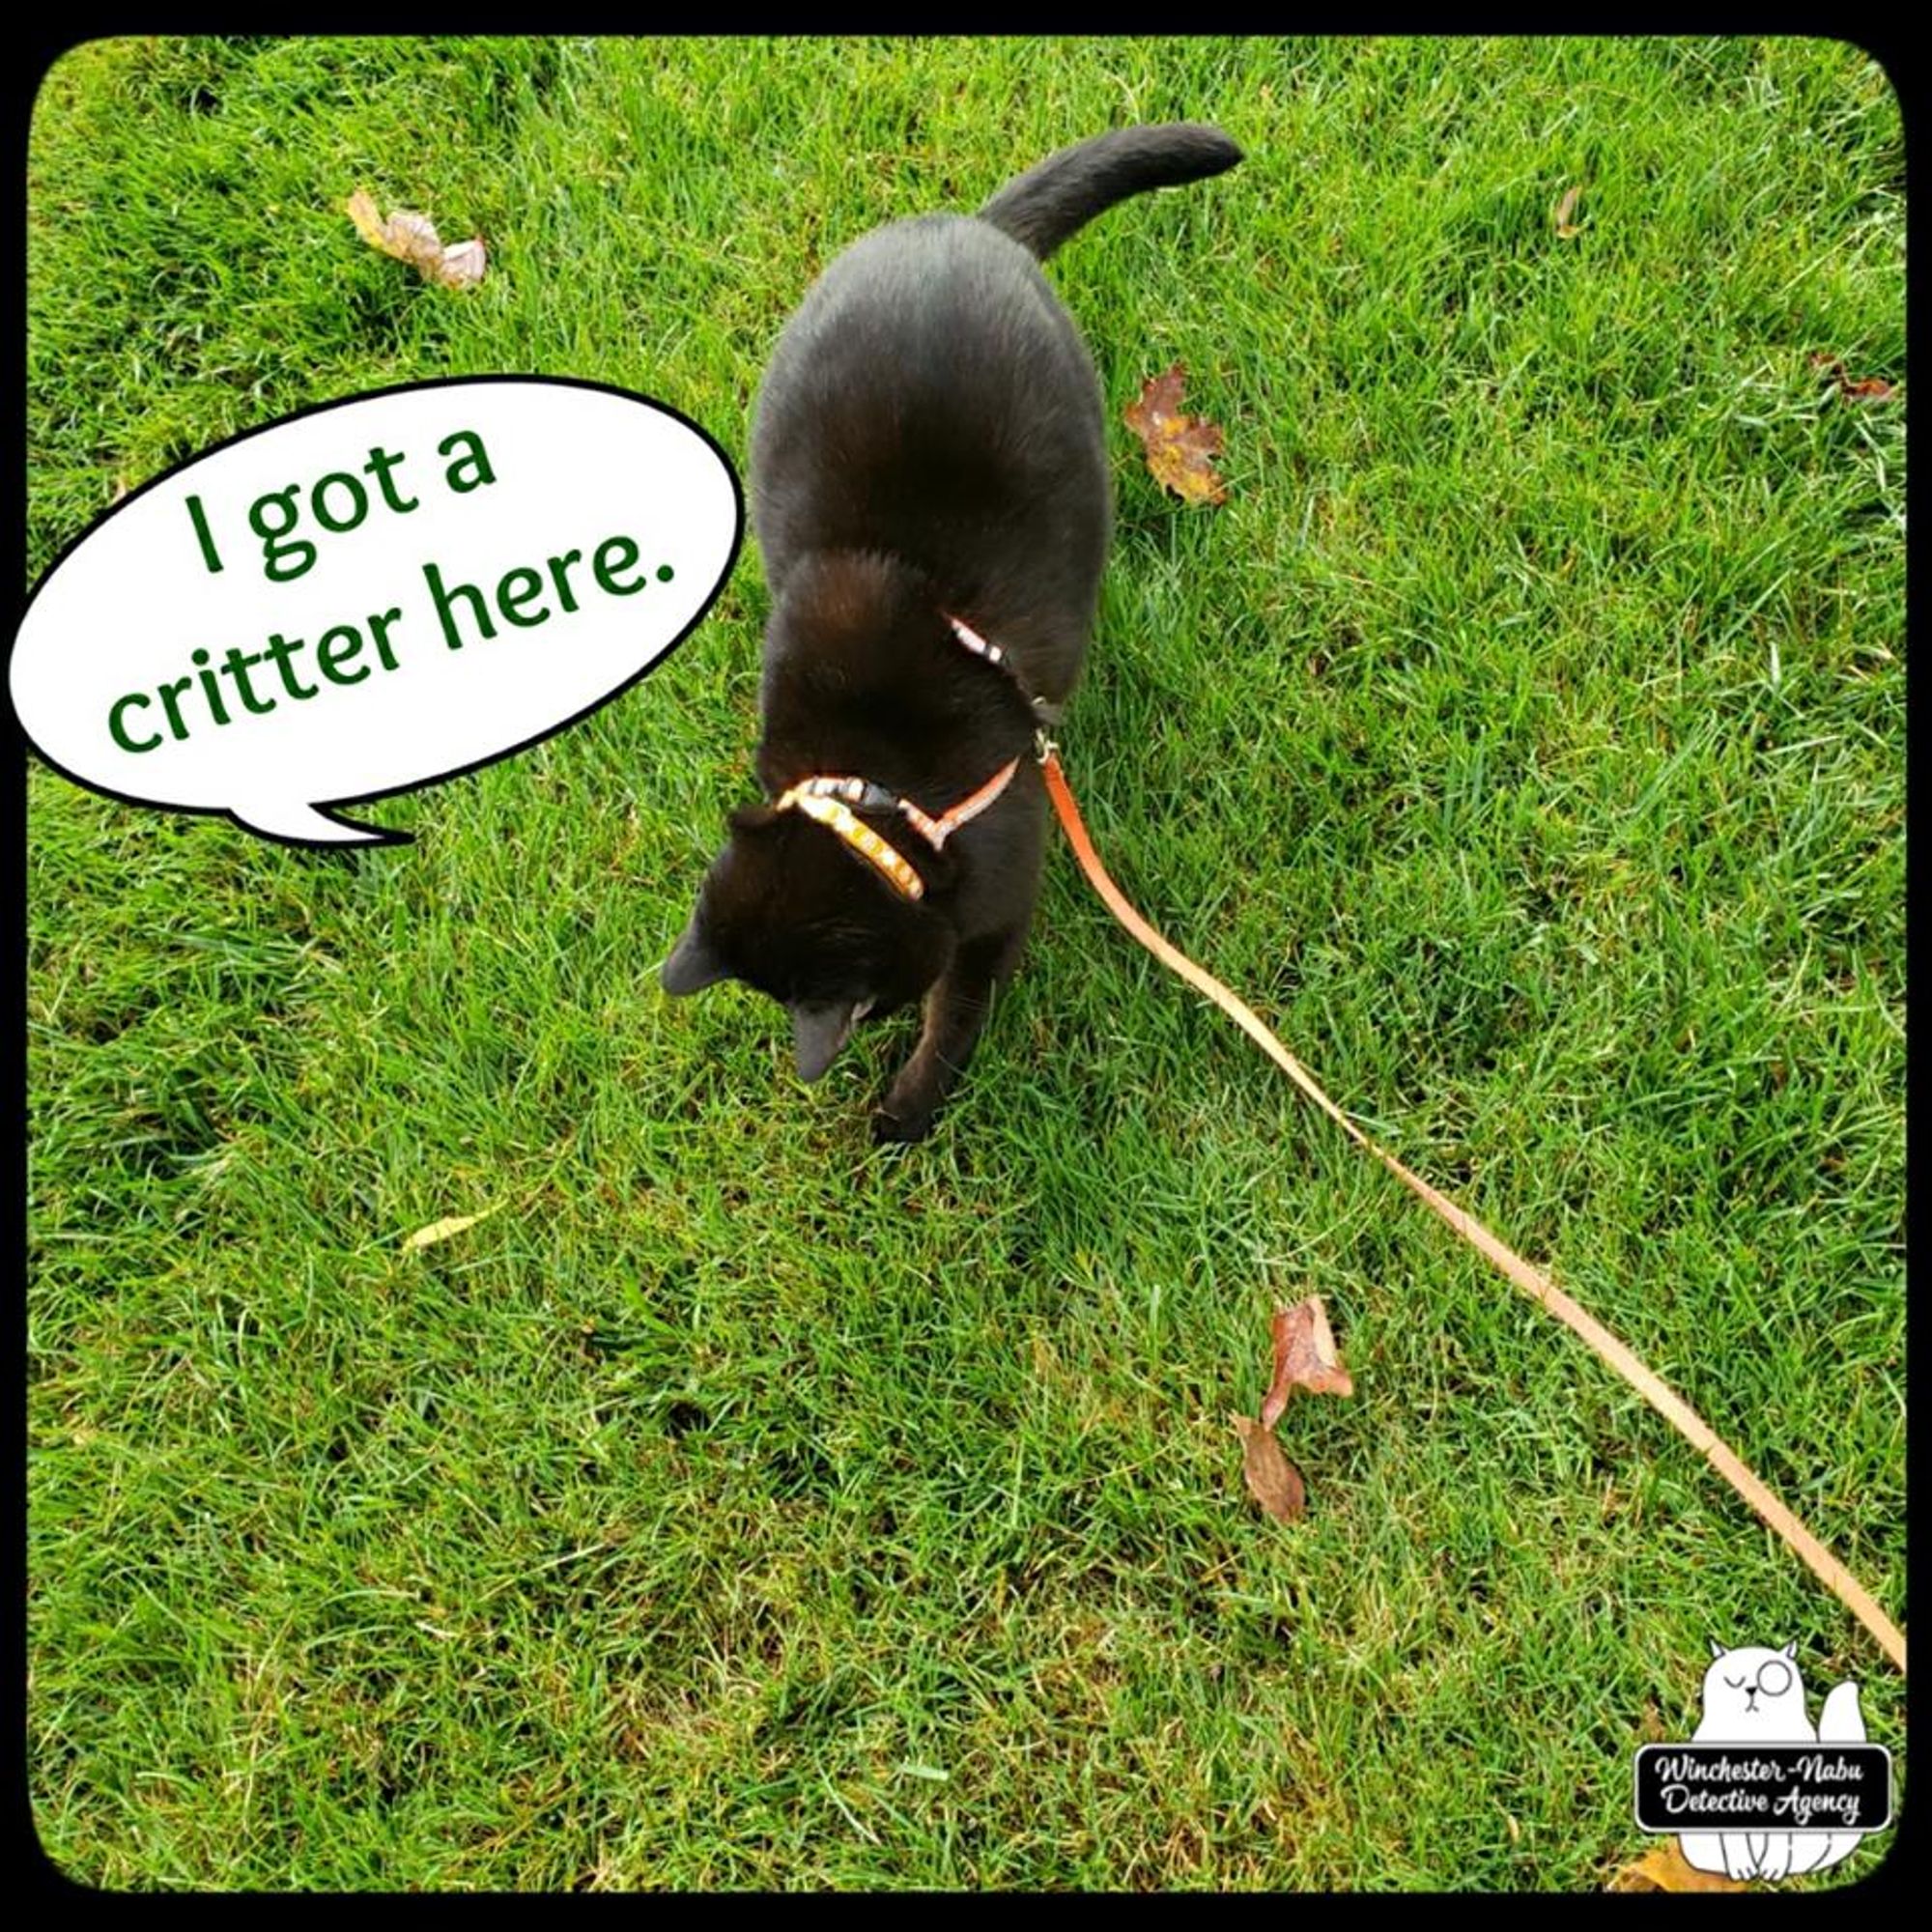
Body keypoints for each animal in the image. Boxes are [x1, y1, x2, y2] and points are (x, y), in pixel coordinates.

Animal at [661, 125, 1236, 1144]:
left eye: (866, 1011)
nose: (834, 1058)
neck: (875, 790)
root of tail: (965, 227)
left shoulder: (995, 902)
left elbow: (959, 1014)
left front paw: (910, 1107)